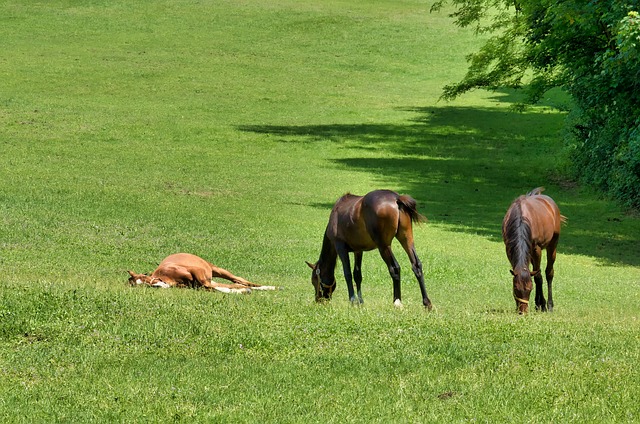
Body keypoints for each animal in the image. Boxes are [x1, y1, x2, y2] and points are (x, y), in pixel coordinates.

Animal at [127, 253, 278, 294]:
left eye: (145, 277)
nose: (157, 285)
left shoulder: (196, 272)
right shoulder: (197, 285)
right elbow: (214, 288)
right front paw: (241, 291)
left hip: (218, 270)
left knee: (240, 280)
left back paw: (271, 287)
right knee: (236, 283)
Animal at [306, 190, 436, 310]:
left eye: (314, 280)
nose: (318, 300)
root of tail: (396, 198)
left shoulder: (340, 247)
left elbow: (347, 274)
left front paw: (352, 300)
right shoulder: (358, 251)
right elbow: (357, 275)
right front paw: (360, 301)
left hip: (383, 246)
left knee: (395, 268)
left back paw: (397, 302)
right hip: (406, 239)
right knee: (416, 265)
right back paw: (426, 303)